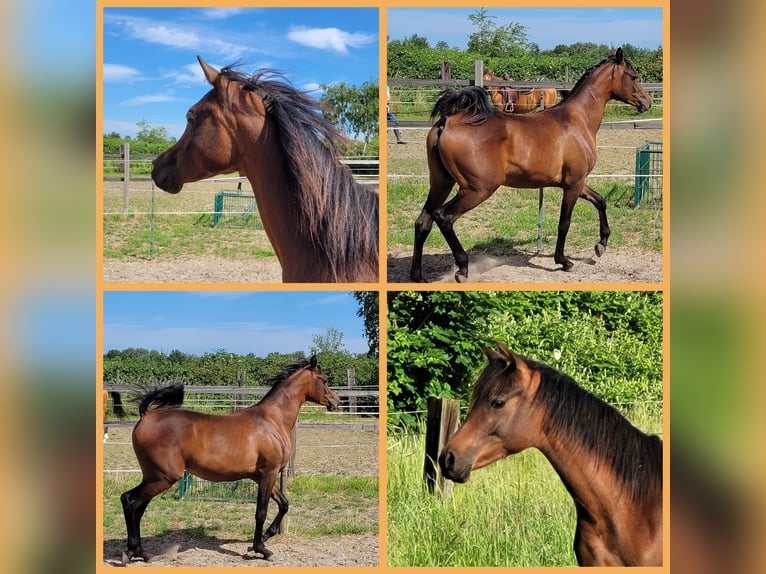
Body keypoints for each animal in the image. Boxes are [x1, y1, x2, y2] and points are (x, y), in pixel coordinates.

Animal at [119, 358, 340, 564]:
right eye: (324, 379)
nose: (336, 401)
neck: (272, 420)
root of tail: (146, 416)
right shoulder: (268, 473)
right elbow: (261, 512)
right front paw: (261, 549)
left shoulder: (261, 476)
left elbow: (284, 504)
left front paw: (265, 537)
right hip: (163, 478)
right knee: (130, 501)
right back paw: (132, 553)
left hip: (153, 477)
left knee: (137, 507)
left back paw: (139, 553)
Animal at [414, 47, 656, 284]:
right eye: (634, 76)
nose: (647, 102)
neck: (577, 121)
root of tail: (448, 121)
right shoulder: (573, 184)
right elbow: (564, 223)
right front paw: (564, 261)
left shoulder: (577, 182)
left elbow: (600, 201)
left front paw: (601, 245)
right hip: (477, 189)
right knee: (444, 217)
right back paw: (462, 268)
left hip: (442, 183)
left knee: (423, 222)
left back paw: (418, 276)